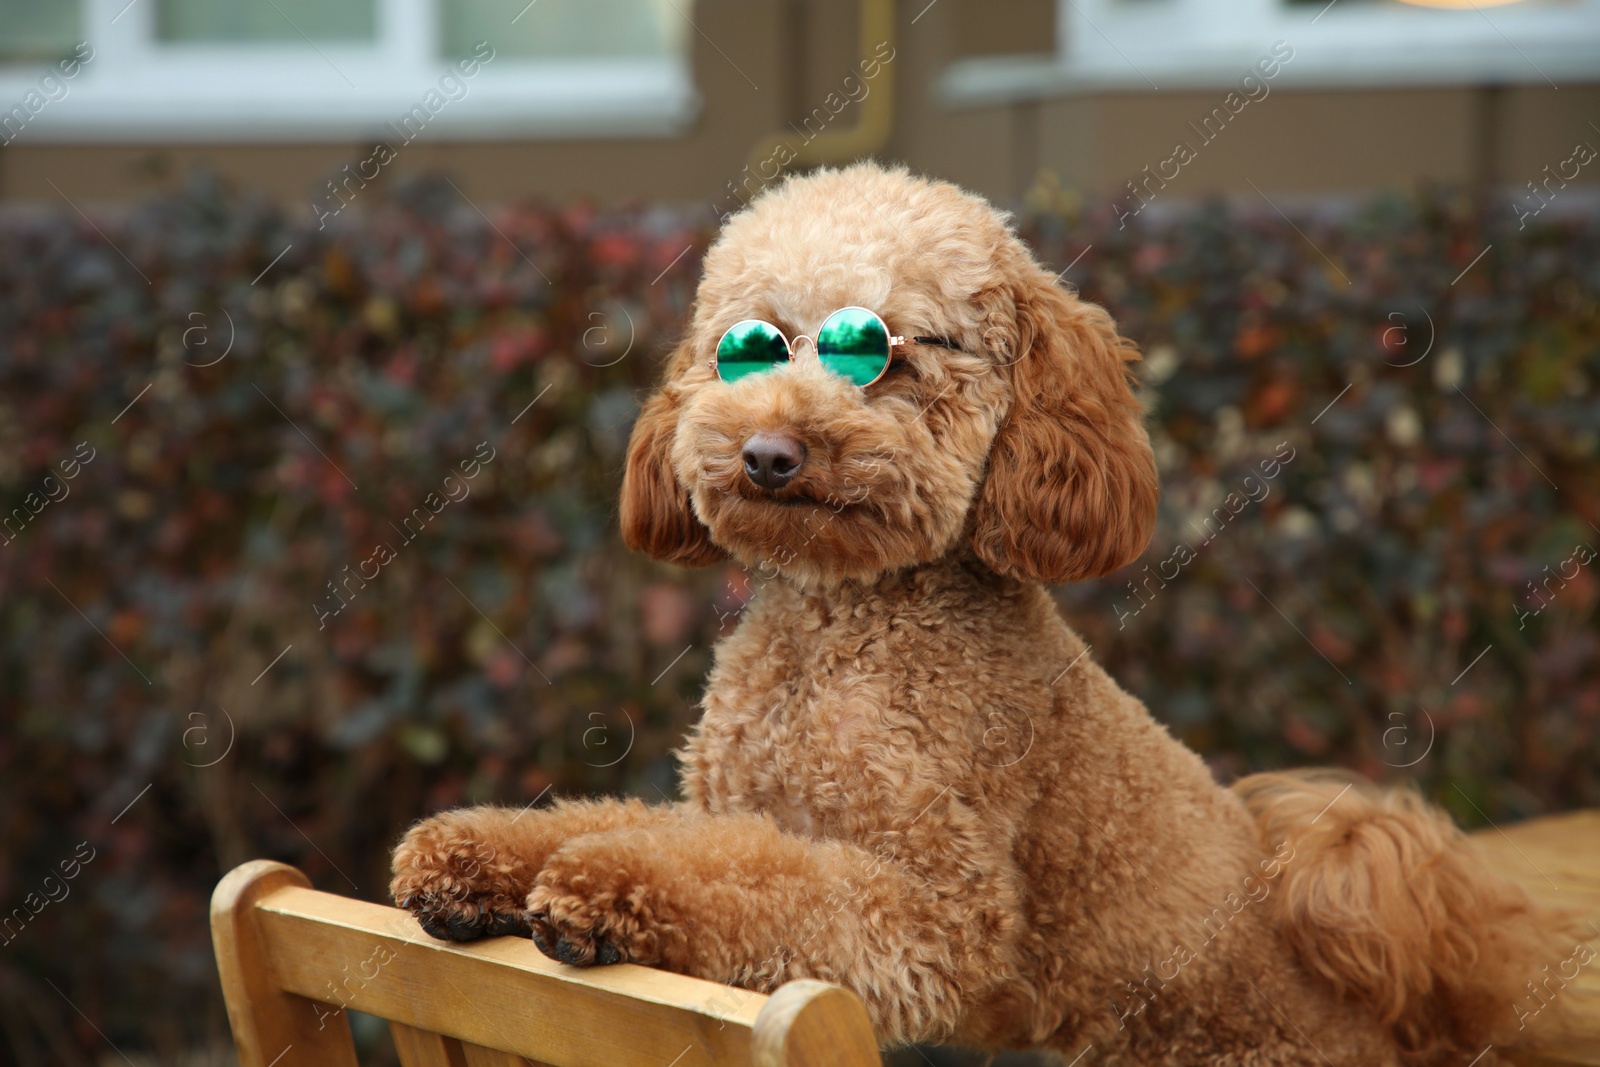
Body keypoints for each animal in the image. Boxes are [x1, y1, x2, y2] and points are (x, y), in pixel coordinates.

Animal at [390, 163, 1574, 1062]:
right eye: (749, 345)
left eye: (881, 351)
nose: (768, 453)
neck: (841, 629)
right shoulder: (740, 806)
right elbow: (632, 821)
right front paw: (476, 856)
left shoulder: (934, 919)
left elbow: (749, 883)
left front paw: (597, 887)